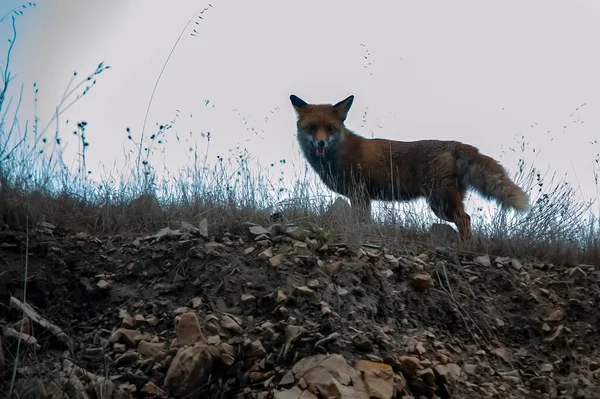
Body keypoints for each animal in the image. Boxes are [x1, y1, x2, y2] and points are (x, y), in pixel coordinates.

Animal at [290, 94, 528, 241]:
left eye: (330, 128)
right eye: (312, 128)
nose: (321, 143)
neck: (340, 152)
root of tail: (454, 144)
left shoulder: (359, 192)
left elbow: (363, 220)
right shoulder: (359, 195)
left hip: (440, 202)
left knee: (465, 219)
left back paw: (465, 247)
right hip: (444, 202)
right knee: (466, 218)